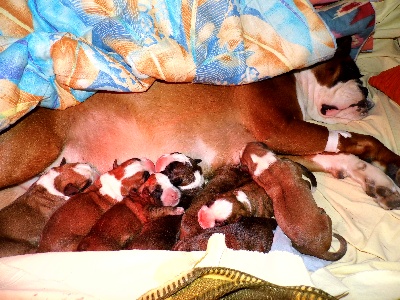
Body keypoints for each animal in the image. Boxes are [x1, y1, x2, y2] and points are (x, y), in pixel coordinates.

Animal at [0, 37, 400, 210]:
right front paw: (388, 160)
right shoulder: (284, 130)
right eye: (353, 72)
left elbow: (342, 156)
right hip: (31, 155)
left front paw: (378, 181)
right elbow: (355, 140)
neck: (296, 77)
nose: (369, 92)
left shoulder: (274, 145)